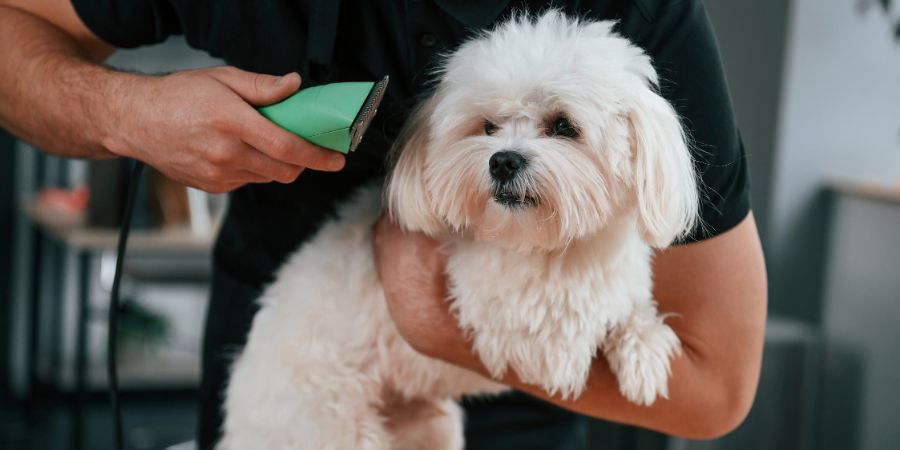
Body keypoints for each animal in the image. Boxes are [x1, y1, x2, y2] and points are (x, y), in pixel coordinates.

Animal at [216, 11, 696, 450]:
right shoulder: (507, 316)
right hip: (331, 424)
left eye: (563, 125)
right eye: (488, 127)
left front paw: (644, 348)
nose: (503, 160)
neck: (549, 244)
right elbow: (565, 325)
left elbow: (630, 304)